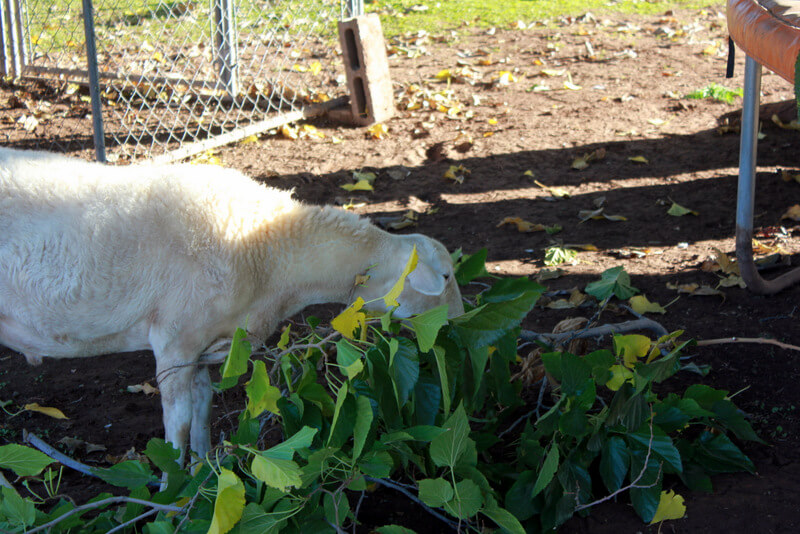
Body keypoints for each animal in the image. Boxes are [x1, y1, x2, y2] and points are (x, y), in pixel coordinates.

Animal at [0, 147, 462, 464]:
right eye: (444, 277)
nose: (457, 323)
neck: (271, 253)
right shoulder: (174, 341)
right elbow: (179, 426)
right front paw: (174, 490)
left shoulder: (208, 344)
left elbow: (203, 412)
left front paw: (203, 471)